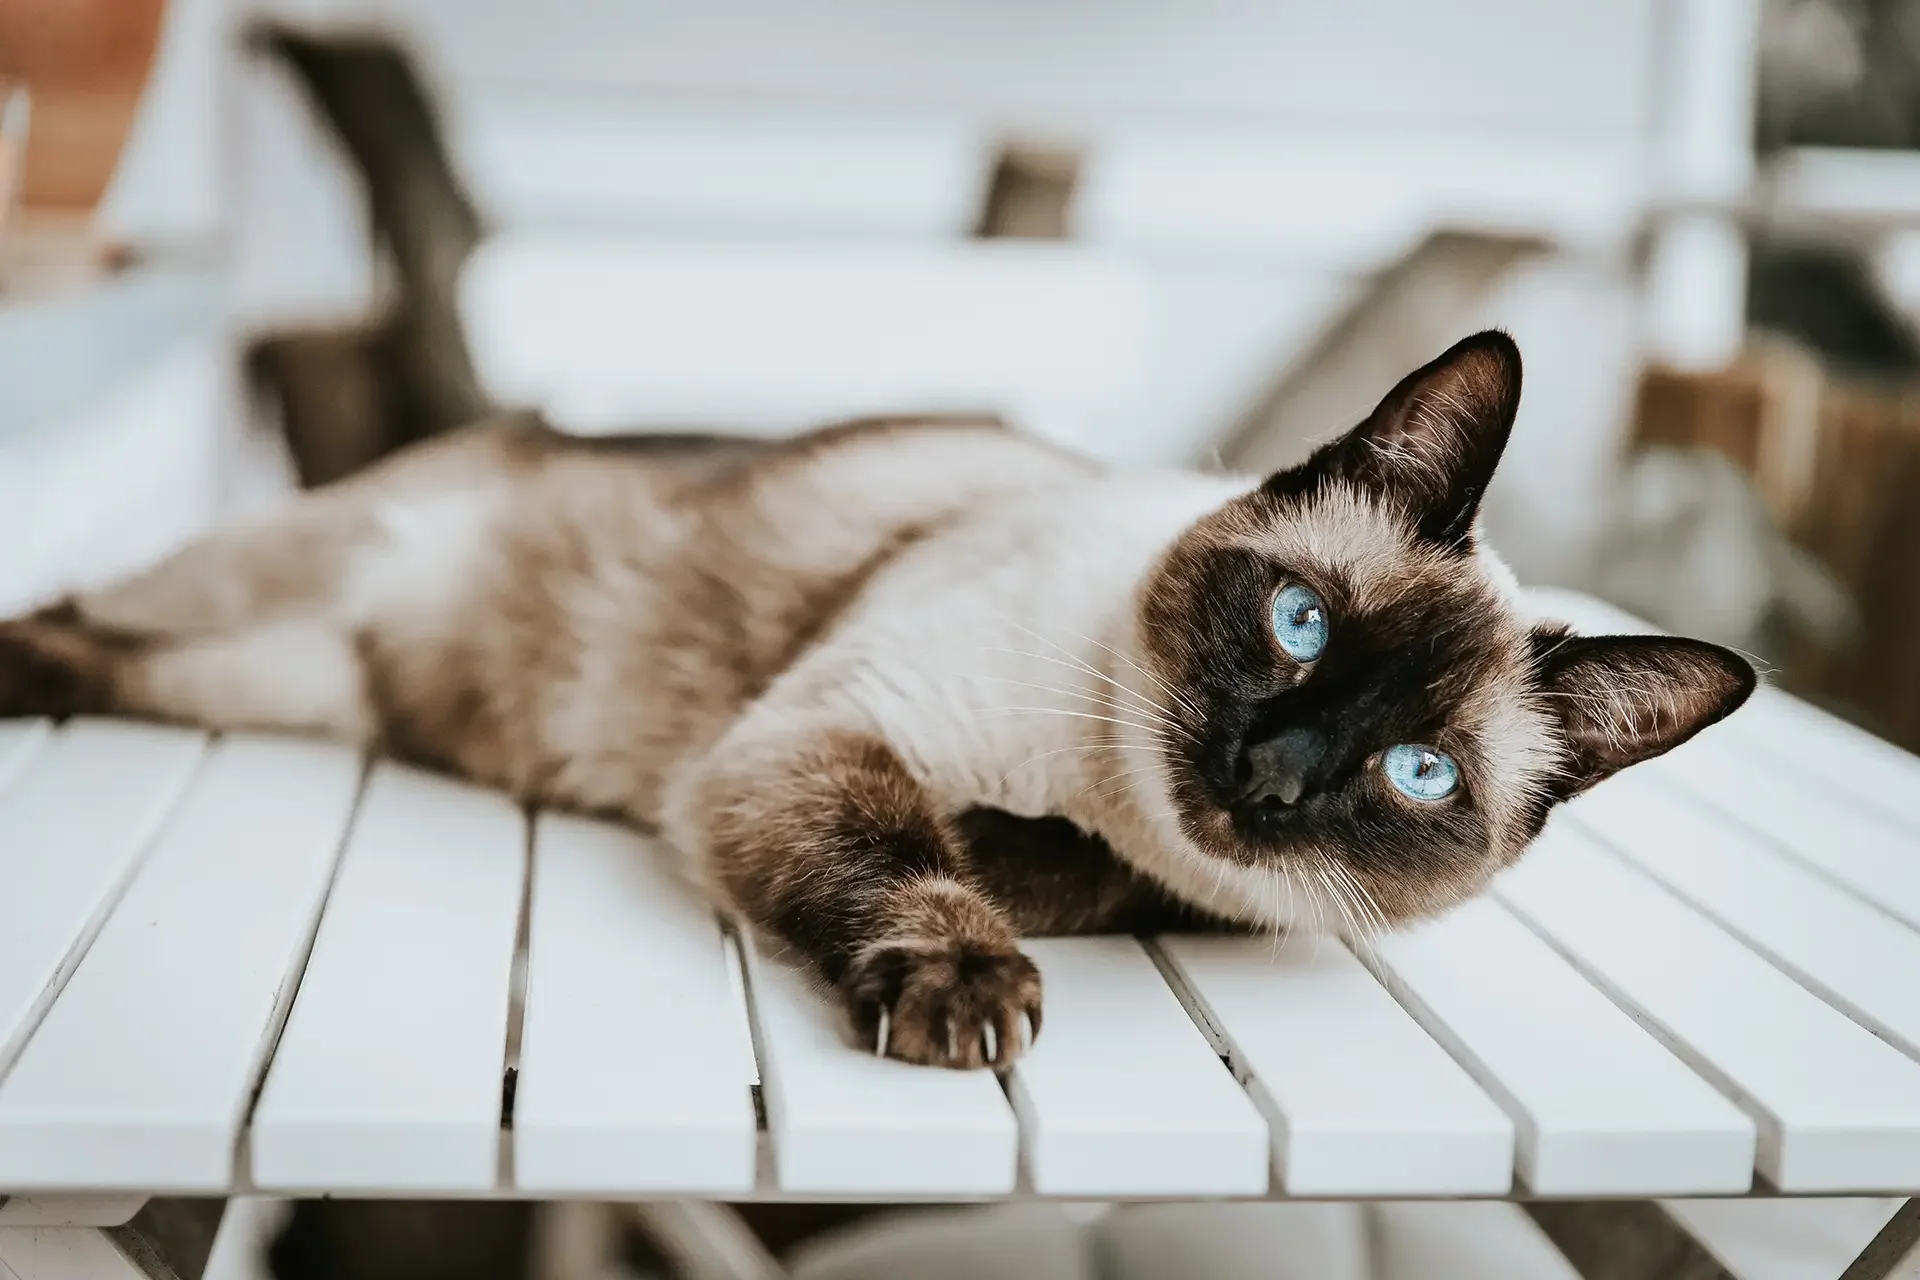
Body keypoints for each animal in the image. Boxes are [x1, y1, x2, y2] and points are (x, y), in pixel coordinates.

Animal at [0, 333, 1758, 1074]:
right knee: (85, 607)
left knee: (122, 659)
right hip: (269, 585)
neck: (1102, 791)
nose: (1271, 771)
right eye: (1298, 622)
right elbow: (913, 861)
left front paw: (1022, 864)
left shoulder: (1168, 883)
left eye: (1415, 776)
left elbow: (1052, 869)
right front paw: (966, 988)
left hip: (293, 688)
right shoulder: (815, 742)